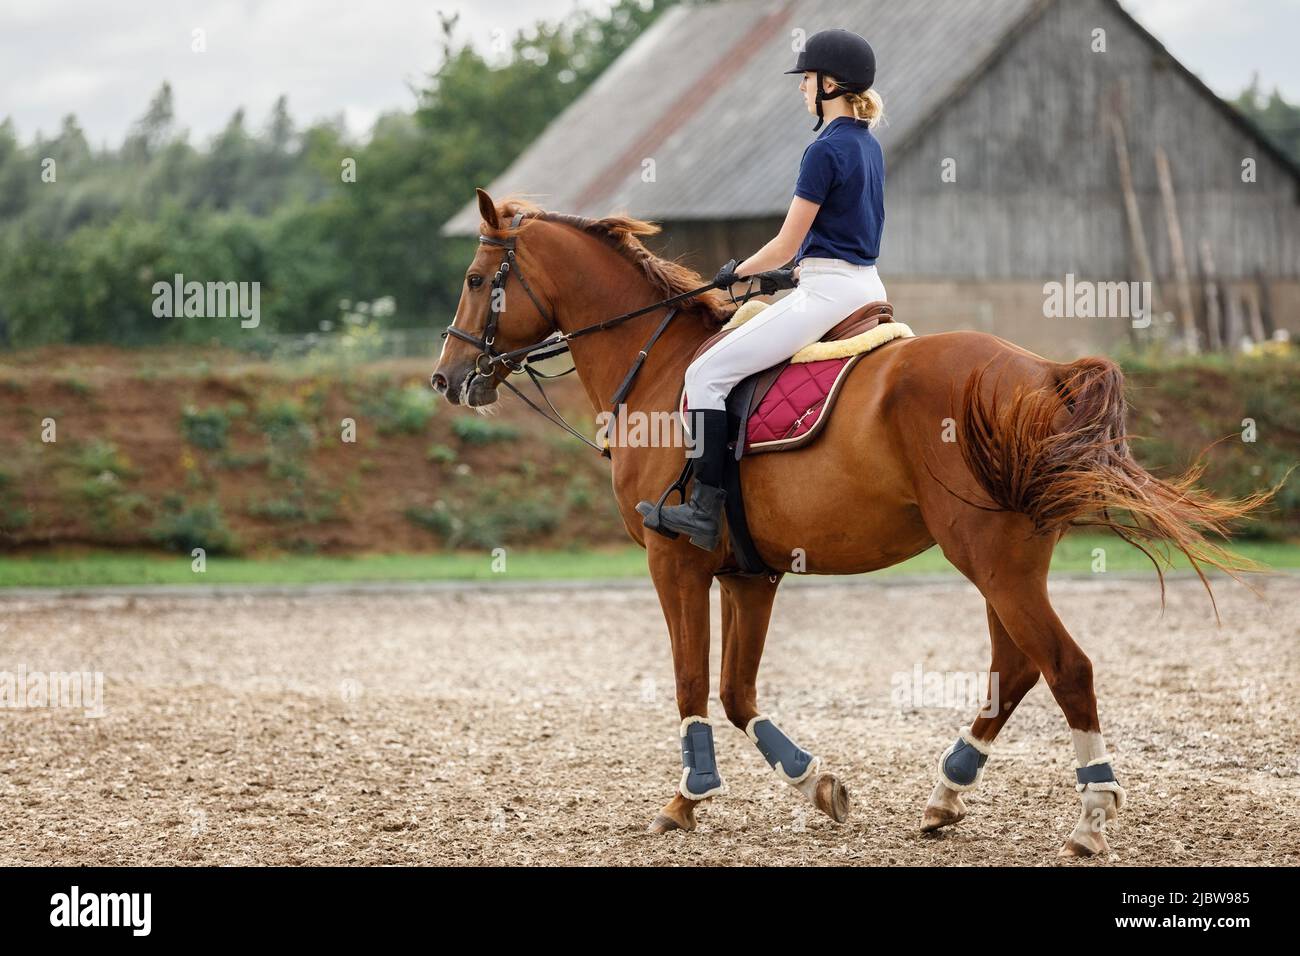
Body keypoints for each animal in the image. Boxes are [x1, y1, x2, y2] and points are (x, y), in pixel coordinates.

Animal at [431, 191, 1263, 858]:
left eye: (475, 280)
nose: (446, 378)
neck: (661, 369)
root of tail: (1043, 373)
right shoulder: (750, 573)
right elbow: (736, 692)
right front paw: (816, 785)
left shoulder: (675, 560)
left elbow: (692, 682)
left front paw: (688, 798)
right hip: (1009, 556)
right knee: (1018, 667)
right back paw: (945, 795)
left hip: (988, 554)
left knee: (1065, 667)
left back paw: (1089, 818)